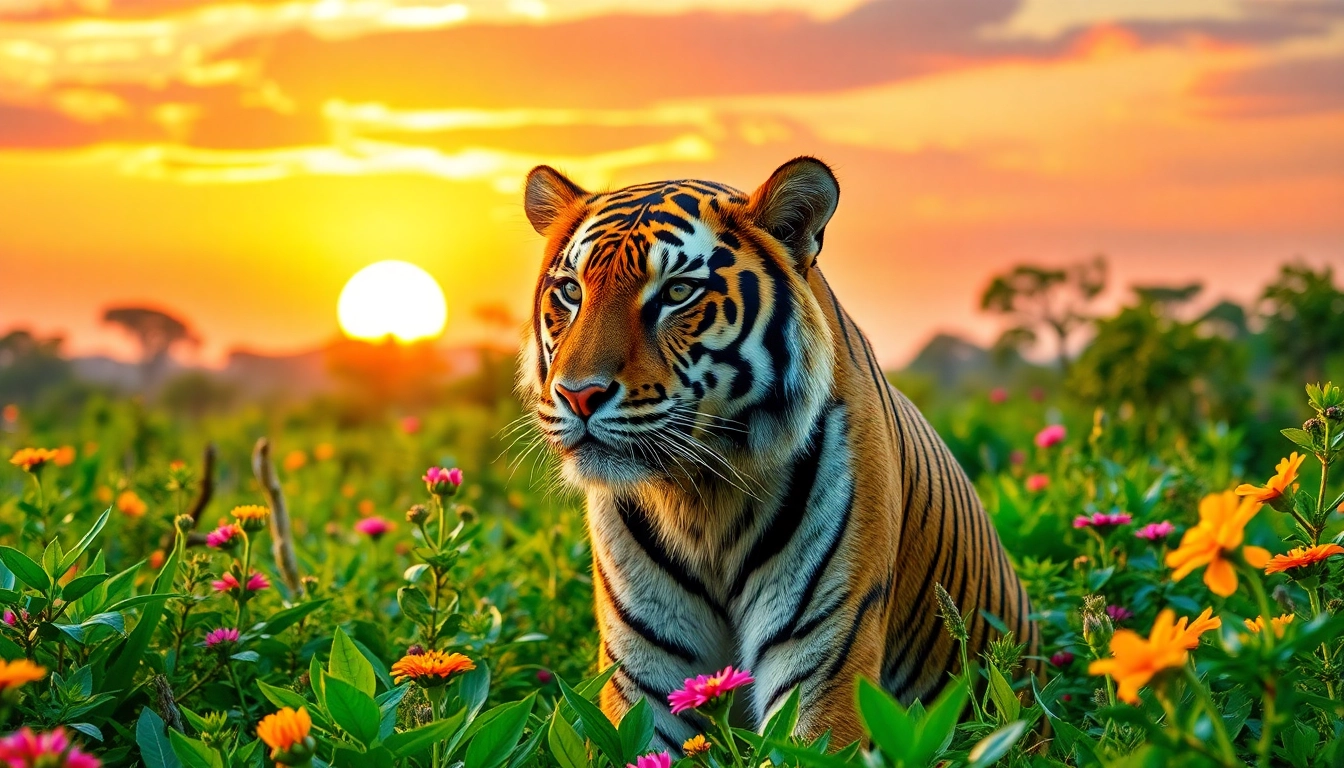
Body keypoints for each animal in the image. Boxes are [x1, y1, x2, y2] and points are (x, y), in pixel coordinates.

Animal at [518, 157, 1038, 749]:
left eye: (677, 292)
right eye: (570, 291)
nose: (578, 394)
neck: (699, 497)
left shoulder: (822, 650)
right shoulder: (644, 669)